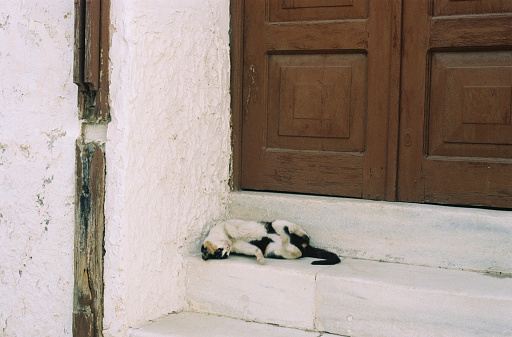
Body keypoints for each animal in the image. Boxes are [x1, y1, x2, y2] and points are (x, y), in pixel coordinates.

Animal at [200, 218, 340, 266]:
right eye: (223, 255)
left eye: (220, 250)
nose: (228, 249)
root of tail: (305, 247)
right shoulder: (243, 247)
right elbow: (255, 249)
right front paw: (260, 258)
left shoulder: (229, 222)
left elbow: (230, 225)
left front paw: (235, 232)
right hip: (272, 250)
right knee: (297, 252)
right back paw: (285, 239)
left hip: (276, 223)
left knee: (305, 235)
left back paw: (291, 229)